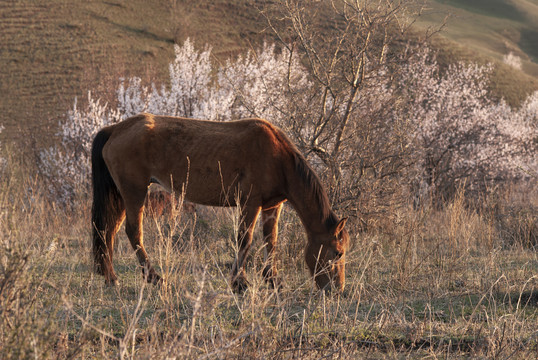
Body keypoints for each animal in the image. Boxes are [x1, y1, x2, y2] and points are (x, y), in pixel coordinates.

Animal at [90, 112, 348, 292]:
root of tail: (115, 129)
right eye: (338, 253)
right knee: (133, 232)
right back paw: (155, 278)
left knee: (108, 231)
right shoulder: (250, 203)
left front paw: (273, 280)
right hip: (134, 192)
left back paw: (111, 277)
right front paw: (239, 283)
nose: (337, 290)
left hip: (122, 196)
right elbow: (245, 239)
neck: (277, 157)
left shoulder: (272, 206)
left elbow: (271, 241)